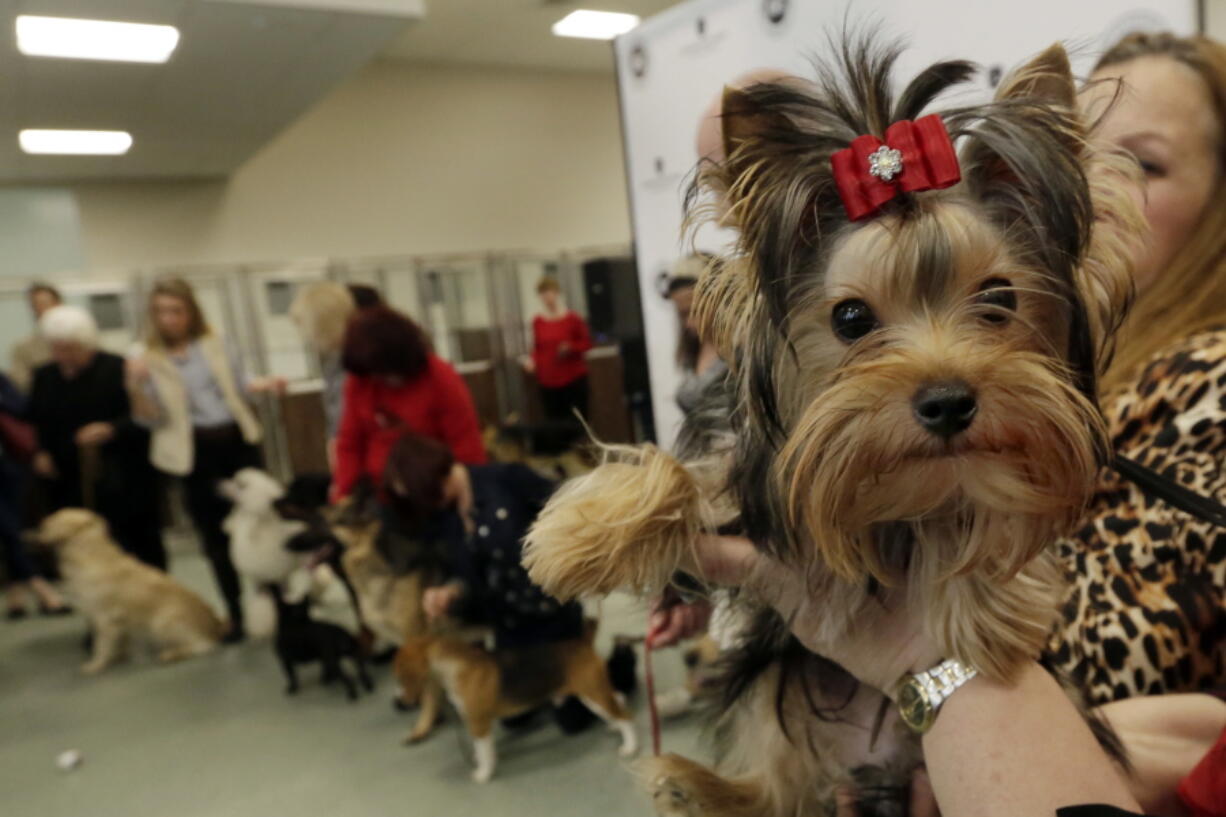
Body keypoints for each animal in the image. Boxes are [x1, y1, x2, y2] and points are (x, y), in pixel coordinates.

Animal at [39, 505, 226, 672]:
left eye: (52, 519)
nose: (40, 523)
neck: (89, 552)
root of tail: (215, 625)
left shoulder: (104, 617)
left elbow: (102, 646)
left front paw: (96, 665)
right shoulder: (115, 621)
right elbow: (119, 642)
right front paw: (120, 656)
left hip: (162, 623)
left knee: (203, 645)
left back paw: (171, 654)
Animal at [524, 38, 1137, 814]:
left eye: (999, 299)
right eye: (850, 317)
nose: (948, 402)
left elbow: (980, 508)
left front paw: (984, 609)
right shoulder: (750, 460)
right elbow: (682, 473)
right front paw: (581, 537)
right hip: (767, 682)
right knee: (777, 781)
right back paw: (694, 785)